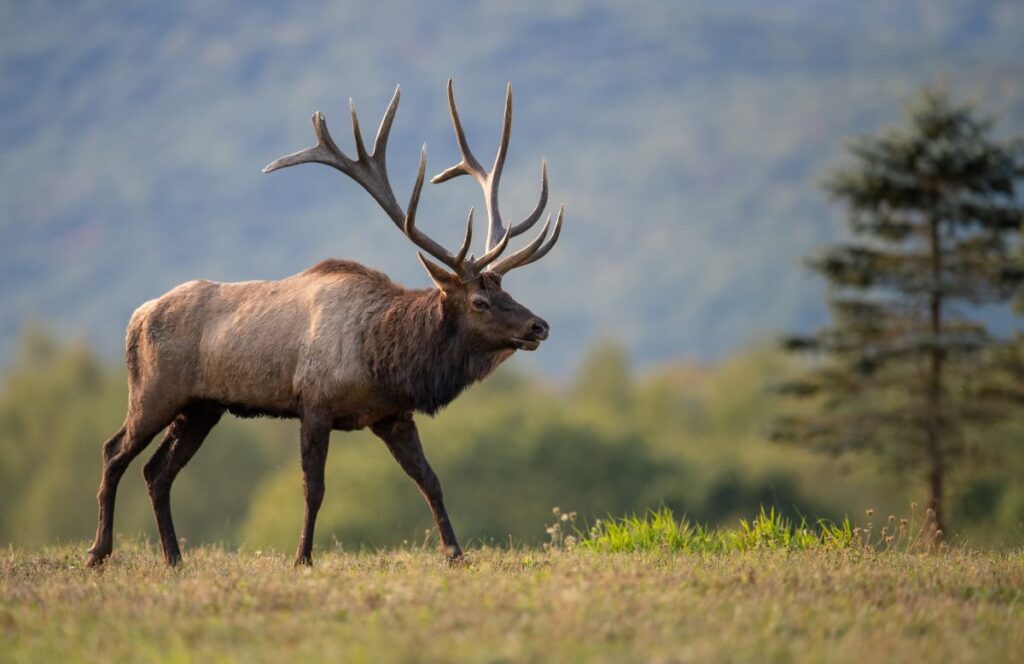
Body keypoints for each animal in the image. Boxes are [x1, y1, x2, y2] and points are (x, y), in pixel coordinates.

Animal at [88, 77, 565, 565]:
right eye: (479, 301)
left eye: (506, 291)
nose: (539, 326)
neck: (386, 357)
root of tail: (136, 317)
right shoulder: (314, 405)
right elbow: (313, 488)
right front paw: (302, 557)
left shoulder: (392, 415)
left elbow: (430, 480)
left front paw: (455, 553)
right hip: (154, 393)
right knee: (113, 452)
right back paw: (99, 551)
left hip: (202, 408)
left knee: (156, 472)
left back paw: (174, 557)